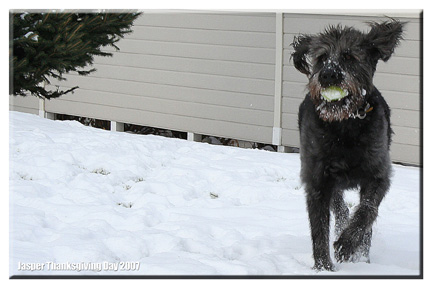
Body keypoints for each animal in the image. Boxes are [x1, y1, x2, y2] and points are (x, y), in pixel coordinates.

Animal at [290, 19, 404, 272]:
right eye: (322, 57)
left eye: (349, 57)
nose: (327, 76)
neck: (345, 125)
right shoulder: (318, 181)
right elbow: (319, 228)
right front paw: (323, 267)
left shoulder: (378, 175)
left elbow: (367, 211)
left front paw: (348, 245)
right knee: (340, 209)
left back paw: (361, 255)